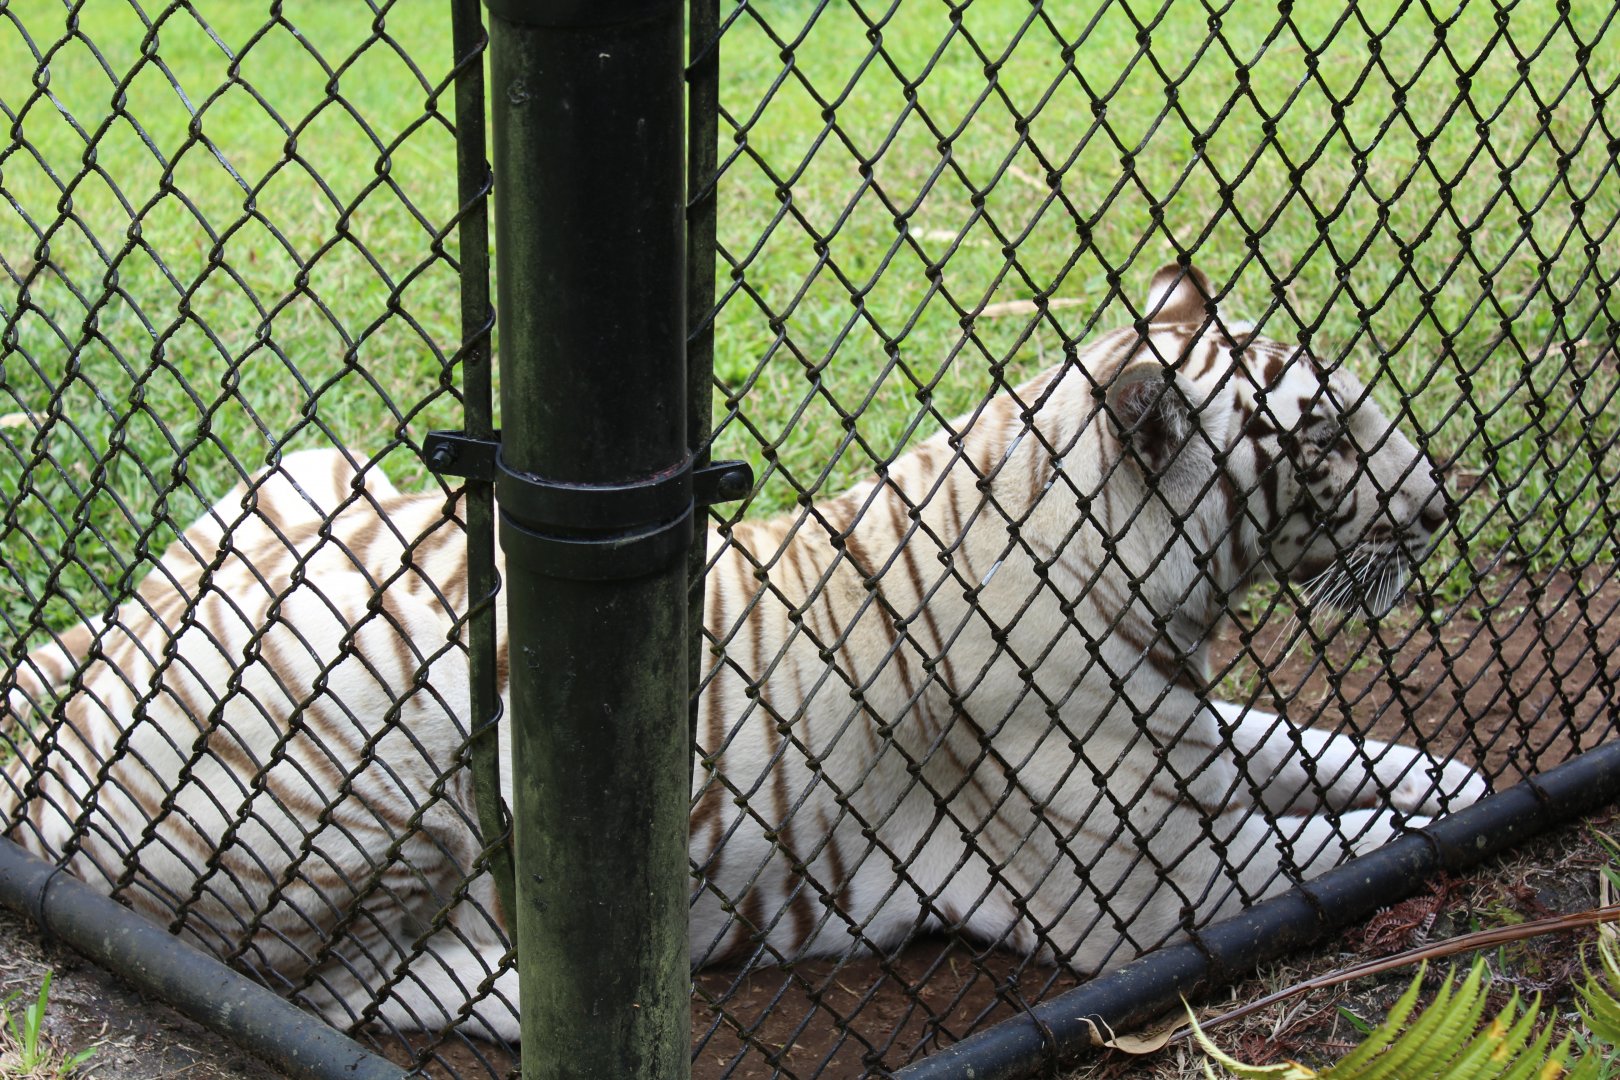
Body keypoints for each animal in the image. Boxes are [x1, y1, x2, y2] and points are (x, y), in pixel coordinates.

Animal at [2, 263, 1486, 1042]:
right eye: (1327, 434)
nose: (1441, 501)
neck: (1160, 602)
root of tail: (72, 667)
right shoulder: (1138, 883)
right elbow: (1331, 840)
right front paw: (1415, 835)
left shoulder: (1192, 734)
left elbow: (1332, 752)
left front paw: (1457, 782)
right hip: (375, 777)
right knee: (332, 987)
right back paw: (525, 992)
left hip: (311, 476)